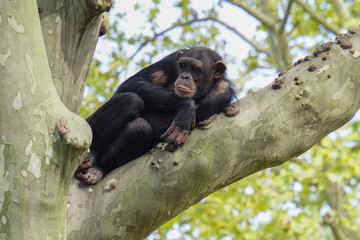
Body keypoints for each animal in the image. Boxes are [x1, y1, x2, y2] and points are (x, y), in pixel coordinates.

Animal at [76, 47, 236, 186]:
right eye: (183, 65)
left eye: (196, 69)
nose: (184, 76)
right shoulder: (170, 61)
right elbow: (134, 82)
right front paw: (186, 107)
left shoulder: (222, 91)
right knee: (131, 100)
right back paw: (90, 156)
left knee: (140, 126)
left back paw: (97, 169)